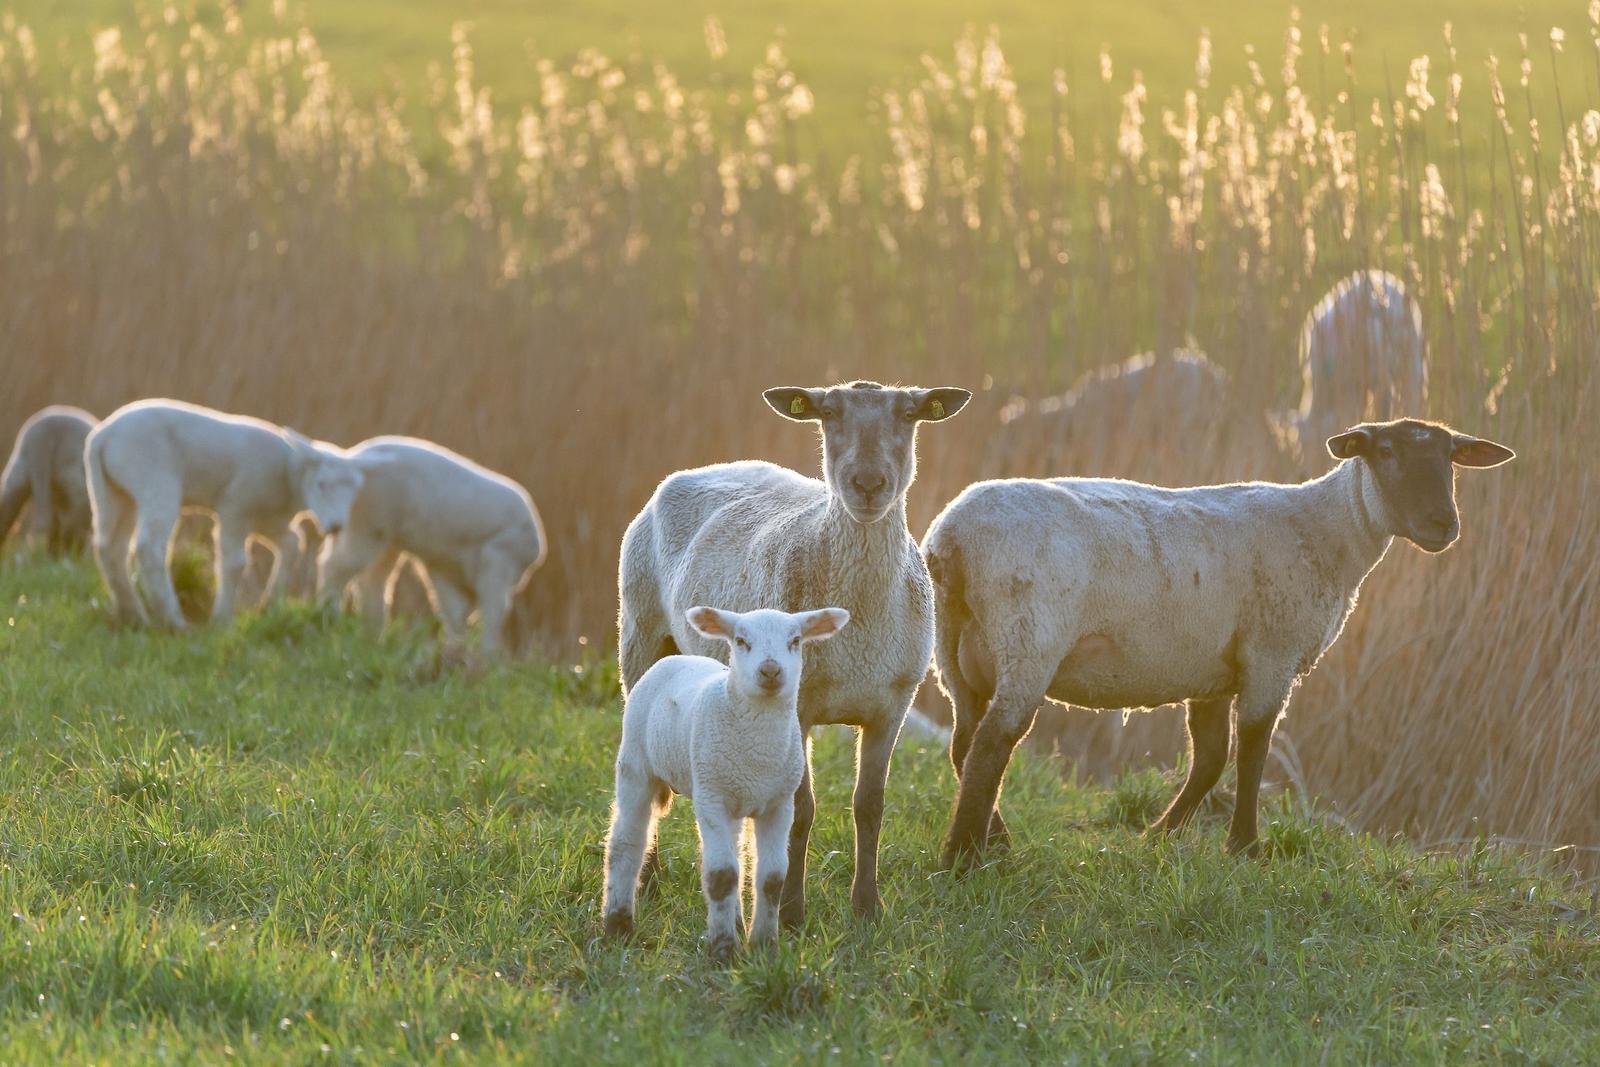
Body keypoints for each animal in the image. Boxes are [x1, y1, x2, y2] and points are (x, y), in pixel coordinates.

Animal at [85, 399, 363, 629]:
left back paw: (133, 613)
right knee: (149, 546)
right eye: (322, 484)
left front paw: (270, 603)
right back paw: (173, 619)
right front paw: (222, 619)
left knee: (110, 547)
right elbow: (235, 562)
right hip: (154, 479)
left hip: (114, 492)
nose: (336, 526)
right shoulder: (236, 505)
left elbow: (293, 543)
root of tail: (104, 435)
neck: (288, 475)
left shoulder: (268, 518)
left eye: (354, 491)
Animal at [314, 436, 546, 658]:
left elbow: (455, 610)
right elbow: (492, 609)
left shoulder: (446, 566)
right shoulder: (498, 558)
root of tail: (354, 459)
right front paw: (485, 657)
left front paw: (456, 652)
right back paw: (329, 613)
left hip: (380, 530)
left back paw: (372, 634)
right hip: (371, 520)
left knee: (374, 577)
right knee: (339, 564)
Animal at [603, 605, 849, 960]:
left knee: (736, 855)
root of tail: (674, 659)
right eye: (741, 641)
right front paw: (722, 953)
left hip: (732, 794)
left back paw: (735, 923)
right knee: (627, 841)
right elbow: (721, 876)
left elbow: (772, 878)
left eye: (795, 641)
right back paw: (617, 926)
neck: (757, 751)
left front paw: (764, 947)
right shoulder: (713, 798)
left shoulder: (779, 802)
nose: (770, 670)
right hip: (637, 761)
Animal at [618, 380, 971, 924]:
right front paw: (790, 912)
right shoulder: (800, 707)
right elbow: (802, 811)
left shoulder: (892, 704)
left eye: (909, 414)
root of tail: (705, 467)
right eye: (828, 413)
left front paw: (867, 908)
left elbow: (870, 805)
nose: (868, 483)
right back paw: (648, 879)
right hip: (639, 632)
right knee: (647, 774)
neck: (860, 628)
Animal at [922, 418, 1513, 866]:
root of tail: (952, 539)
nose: (1443, 524)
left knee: (964, 742)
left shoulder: (1210, 671)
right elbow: (1252, 749)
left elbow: (1210, 758)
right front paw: (1245, 848)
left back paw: (992, 840)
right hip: (1028, 638)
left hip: (956, 651)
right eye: (1386, 452)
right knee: (992, 745)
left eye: (1451, 458)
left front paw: (1158, 836)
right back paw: (962, 859)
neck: (1330, 530)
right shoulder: (1271, 653)